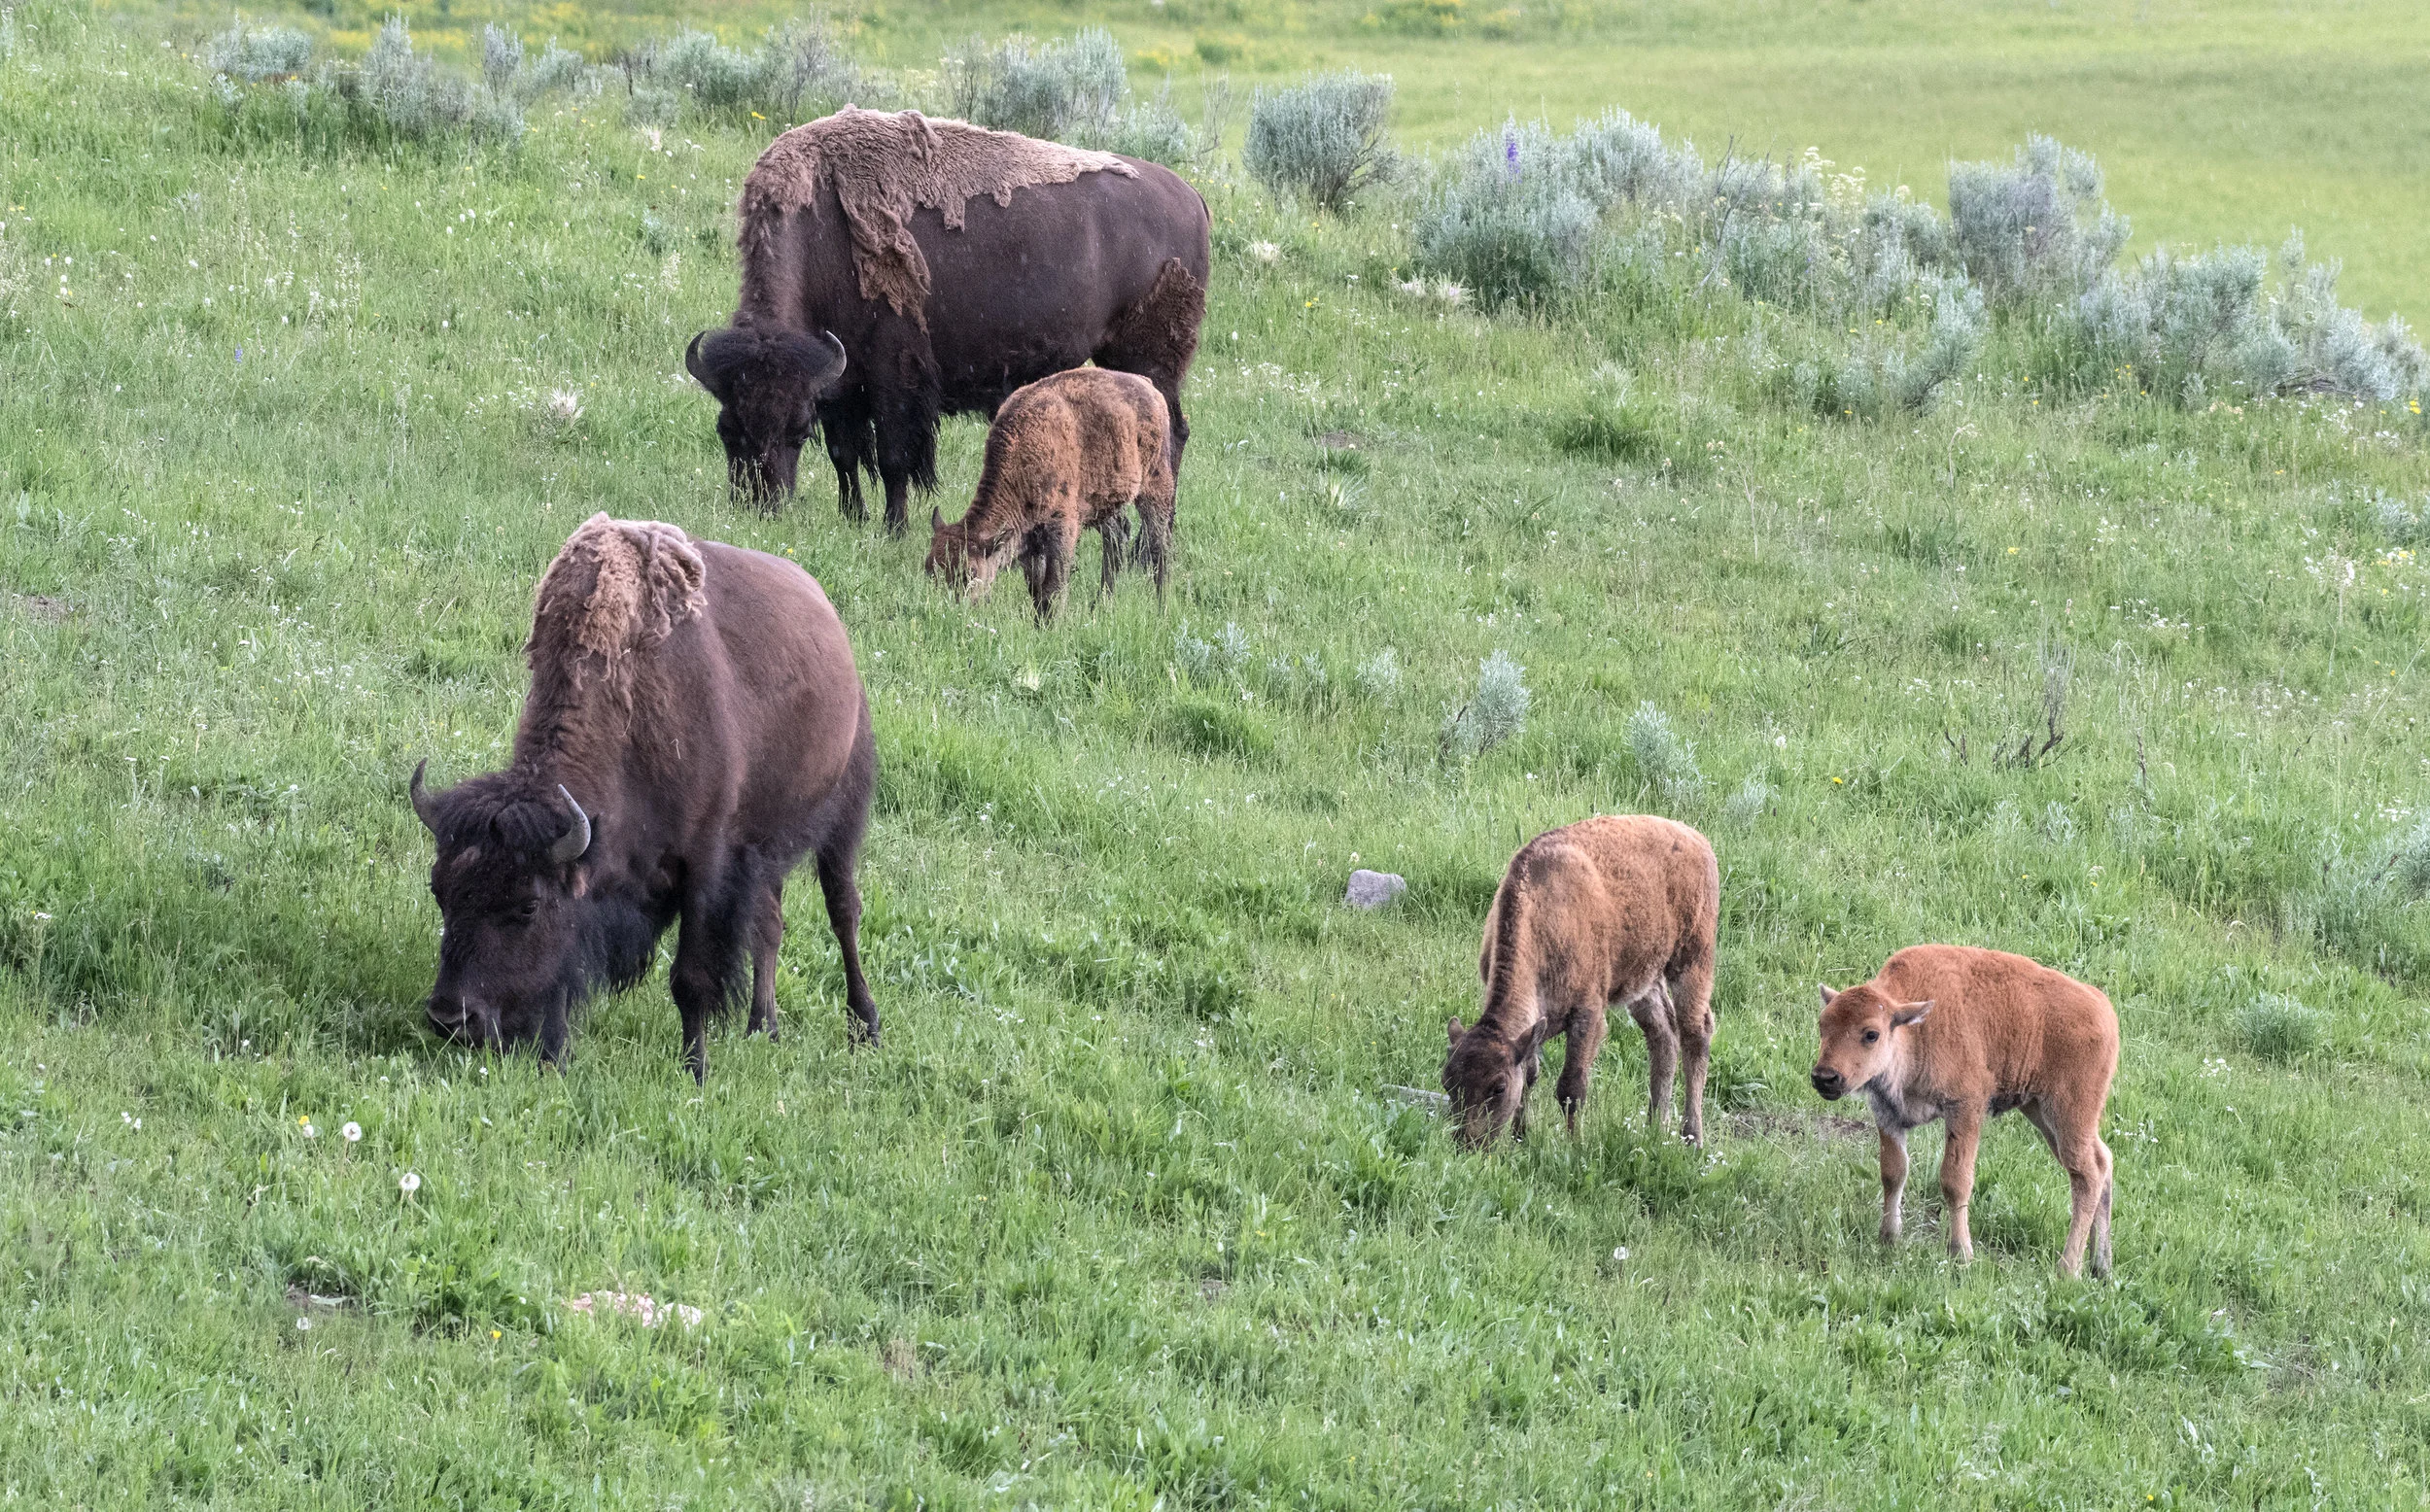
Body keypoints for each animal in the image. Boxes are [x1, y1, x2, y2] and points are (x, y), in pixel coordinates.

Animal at [408, 514, 878, 1080]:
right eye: (440, 891)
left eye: (527, 907)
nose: (450, 1018)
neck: (629, 705)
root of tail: (829, 618)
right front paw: (553, 1058)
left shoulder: (704, 867)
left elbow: (689, 979)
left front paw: (696, 1070)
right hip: (766, 849)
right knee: (770, 923)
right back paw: (762, 1028)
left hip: (843, 814)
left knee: (843, 910)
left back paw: (865, 1027)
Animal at [686, 107, 1210, 533]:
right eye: (726, 429)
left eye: (797, 431)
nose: (759, 506)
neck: (821, 227)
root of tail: (1191, 196)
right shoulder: (838, 382)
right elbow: (844, 455)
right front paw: (853, 518)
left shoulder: (893, 376)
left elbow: (894, 458)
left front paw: (892, 530)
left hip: (1150, 359)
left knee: (1171, 435)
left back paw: (1149, 544)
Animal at [924, 367, 1174, 621]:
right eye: (929, 569)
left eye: (969, 573)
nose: (949, 609)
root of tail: (1148, 386)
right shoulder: (1031, 544)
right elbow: (1037, 589)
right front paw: (1040, 623)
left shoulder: (1062, 530)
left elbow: (1053, 588)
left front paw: (1054, 623)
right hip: (1103, 503)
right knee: (1116, 538)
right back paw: (1099, 606)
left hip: (1155, 485)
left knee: (1159, 544)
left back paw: (1162, 607)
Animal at [1442, 815, 1719, 1149]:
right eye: (1447, 1082)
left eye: (1498, 1088)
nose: (1467, 1143)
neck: (1544, 919)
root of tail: (1696, 838)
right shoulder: (1535, 1028)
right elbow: (1531, 1075)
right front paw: (1521, 1137)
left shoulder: (1588, 1014)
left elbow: (1571, 1088)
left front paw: (1575, 1146)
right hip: (1642, 980)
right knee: (1663, 1036)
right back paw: (1655, 1127)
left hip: (1692, 960)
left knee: (1695, 1034)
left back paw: (1692, 1138)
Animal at [1810, 945, 2119, 1277]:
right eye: (1822, 1025)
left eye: (1871, 1034)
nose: (1825, 1077)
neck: (1915, 1031)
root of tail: (2103, 1009)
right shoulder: (1887, 1114)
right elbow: (1893, 1173)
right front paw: (1889, 1239)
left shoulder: (1965, 1108)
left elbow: (1955, 1180)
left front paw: (1961, 1254)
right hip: (2042, 1113)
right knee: (2102, 1160)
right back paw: (2101, 1265)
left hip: (2069, 1113)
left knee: (2087, 1175)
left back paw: (2068, 1268)